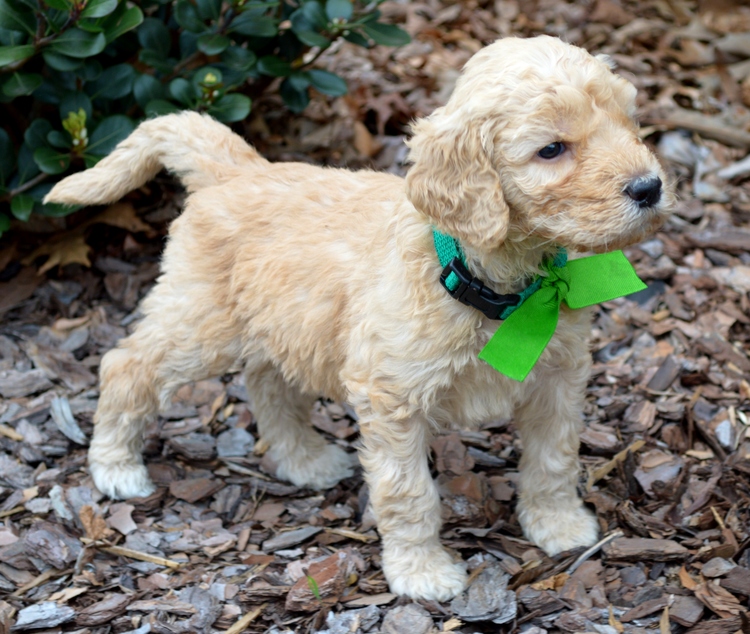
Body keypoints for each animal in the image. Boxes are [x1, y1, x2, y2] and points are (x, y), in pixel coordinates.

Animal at [45, 34, 676, 596]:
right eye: (551, 149)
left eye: (628, 123)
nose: (650, 186)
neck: (494, 283)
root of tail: (239, 170)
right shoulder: (391, 396)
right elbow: (409, 494)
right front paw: (421, 573)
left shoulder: (558, 379)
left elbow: (554, 458)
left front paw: (559, 525)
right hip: (201, 323)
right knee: (127, 363)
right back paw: (116, 466)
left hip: (280, 322)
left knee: (267, 382)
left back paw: (304, 461)